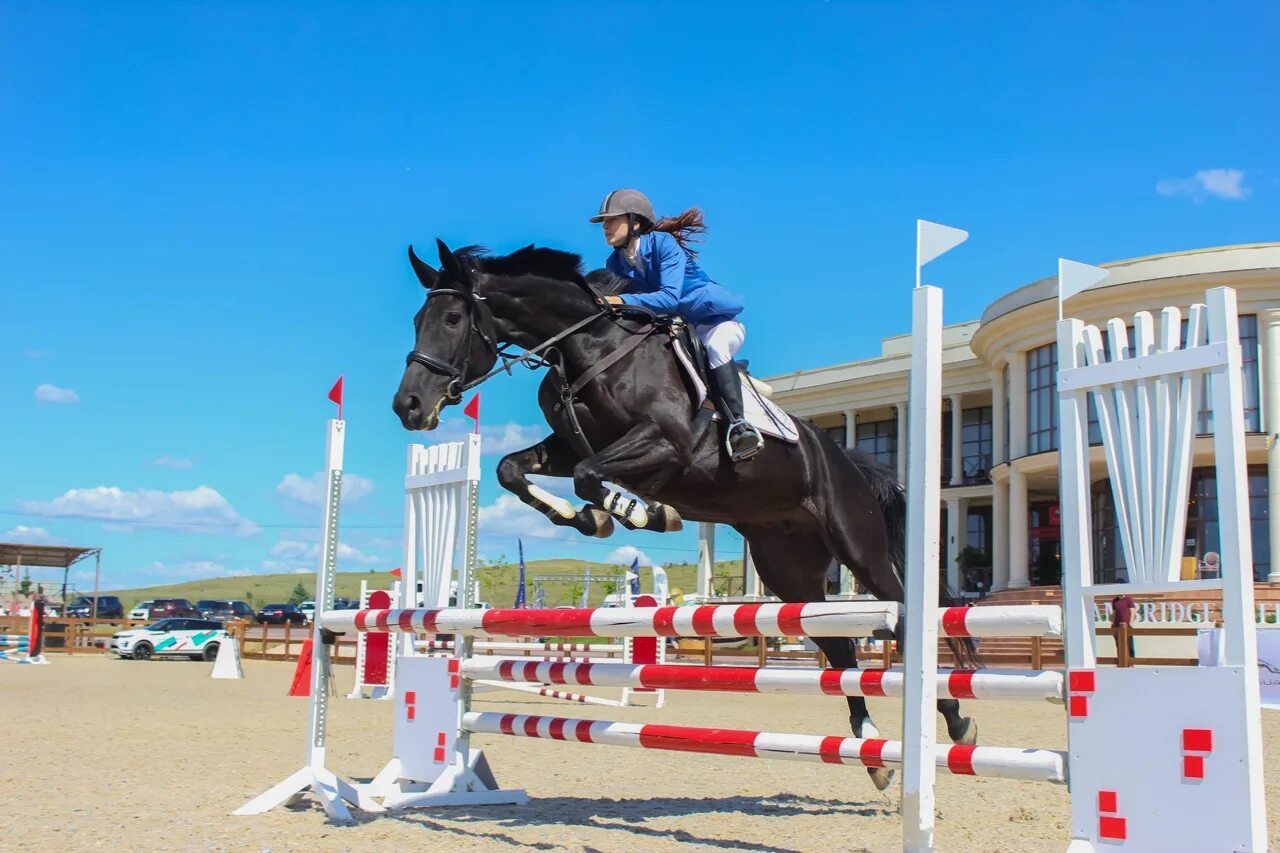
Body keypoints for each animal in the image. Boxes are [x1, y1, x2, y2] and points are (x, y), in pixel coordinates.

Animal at [389, 239, 977, 788]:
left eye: (452, 319)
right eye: (417, 321)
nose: (408, 407)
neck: (586, 347)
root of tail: (848, 459)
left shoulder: (666, 443)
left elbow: (589, 475)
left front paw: (637, 512)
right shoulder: (566, 444)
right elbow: (513, 469)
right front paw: (594, 517)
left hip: (857, 545)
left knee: (902, 614)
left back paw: (953, 722)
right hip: (788, 569)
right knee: (839, 647)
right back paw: (871, 747)